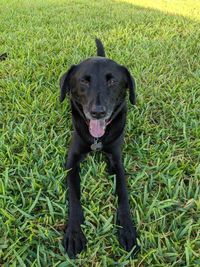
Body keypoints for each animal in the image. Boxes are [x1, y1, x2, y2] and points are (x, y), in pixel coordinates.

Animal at [59, 38, 139, 258]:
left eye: (112, 81)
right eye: (84, 81)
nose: (98, 112)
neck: (97, 138)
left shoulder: (117, 160)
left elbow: (123, 194)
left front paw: (127, 229)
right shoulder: (72, 161)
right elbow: (74, 196)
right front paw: (74, 233)